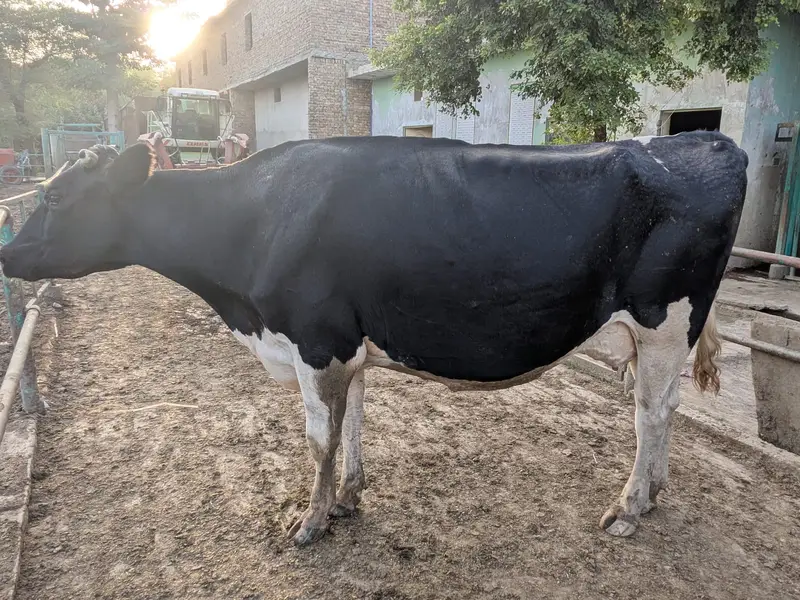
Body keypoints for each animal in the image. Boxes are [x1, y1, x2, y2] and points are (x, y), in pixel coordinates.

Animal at [0, 132, 748, 546]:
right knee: (665, 410)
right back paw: (654, 493)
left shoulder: (313, 337)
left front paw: (308, 523)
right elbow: (351, 422)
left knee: (650, 414)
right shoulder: (344, 344)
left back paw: (628, 508)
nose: (8, 252)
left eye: (57, 198)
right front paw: (348, 499)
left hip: (663, 319)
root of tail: (706, 141)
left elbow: (317, 439)